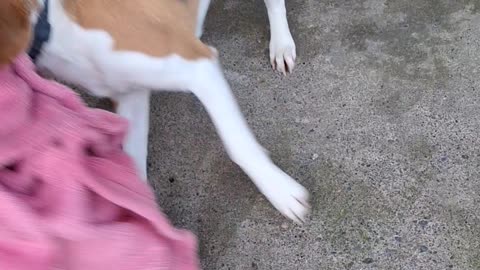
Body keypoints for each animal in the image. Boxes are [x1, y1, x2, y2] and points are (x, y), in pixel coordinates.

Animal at [1, 0, 308, 224]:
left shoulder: (196, 65)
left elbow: (239, 146)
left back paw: (281, 43)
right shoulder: (130, 96)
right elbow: (133, 173)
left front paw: (280, 190)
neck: (50, 23)